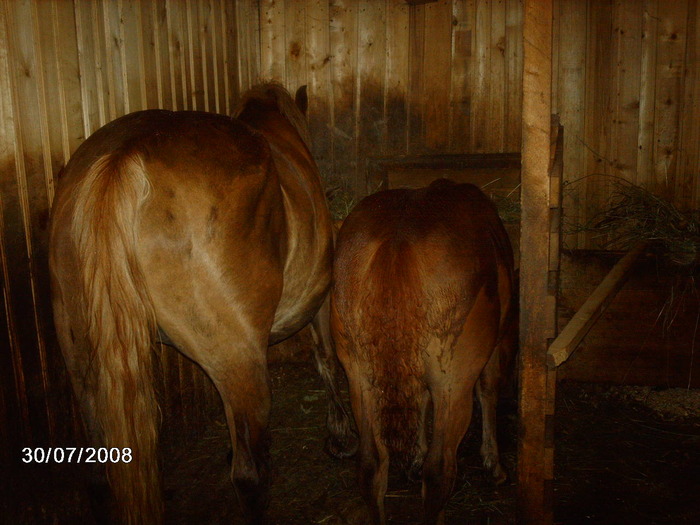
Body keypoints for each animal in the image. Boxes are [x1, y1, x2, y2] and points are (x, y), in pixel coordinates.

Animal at [48, 84, 352, 520]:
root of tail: (124, 157)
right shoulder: (320, 300)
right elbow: (326, 360)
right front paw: (340, 436)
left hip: (84, 369)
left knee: (98, 475)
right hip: (240, 362)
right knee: (250, 474)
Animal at [328, 178, 516, 520]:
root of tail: (396, 242)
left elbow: (420, 399)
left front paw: (415, 456)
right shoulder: (490, 350)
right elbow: (488, 390)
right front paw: (494, 466)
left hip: (359, 376)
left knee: (371, 465)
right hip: (452, 381)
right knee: (440, 469)